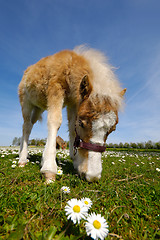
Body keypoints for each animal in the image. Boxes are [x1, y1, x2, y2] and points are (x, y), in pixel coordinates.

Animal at [18, 46, 126, 183]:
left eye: (113, 129)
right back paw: (22, 159)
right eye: (82, 123)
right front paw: (49, 169)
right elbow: (55, 121)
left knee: (30, 124)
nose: (93, 176)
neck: (69, 64)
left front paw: (76, 162)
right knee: (26, 126)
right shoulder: (55, 88)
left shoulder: (74, 102)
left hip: (38, 107)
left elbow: (71, 128)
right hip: (26, 102)